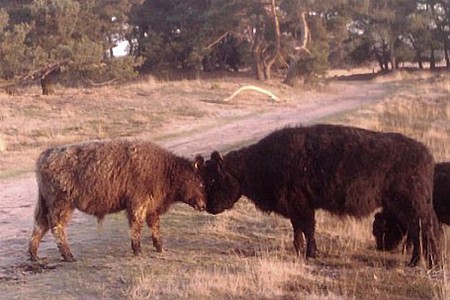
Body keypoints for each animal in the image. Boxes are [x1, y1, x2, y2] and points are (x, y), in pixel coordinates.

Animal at [26, 139, 206, 262]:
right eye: (200, 181)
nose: (203, 205)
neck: (164, 170)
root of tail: (46, 155)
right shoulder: (137, 205)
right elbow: (136, 227)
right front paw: (137, 250)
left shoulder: (152, 208)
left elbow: (155, 228)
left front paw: (160, 248)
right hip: (61, 204)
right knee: (56, 227)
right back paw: (68, 255)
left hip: (45, 204)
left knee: (40, 225)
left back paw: (34, 255)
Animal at [200, 124, 442, 268]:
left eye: (214, 180)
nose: (209, 207)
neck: (262, 161)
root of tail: (426, 154)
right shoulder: (296, 208)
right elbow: (299, 229)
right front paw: (301, 251)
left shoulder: (302, 206)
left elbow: (307, 229)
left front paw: (309, 253)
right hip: (405, 208)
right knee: (417, 232)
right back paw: (414, 262)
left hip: (412, 205)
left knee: (427, 229)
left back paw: (431, 263)